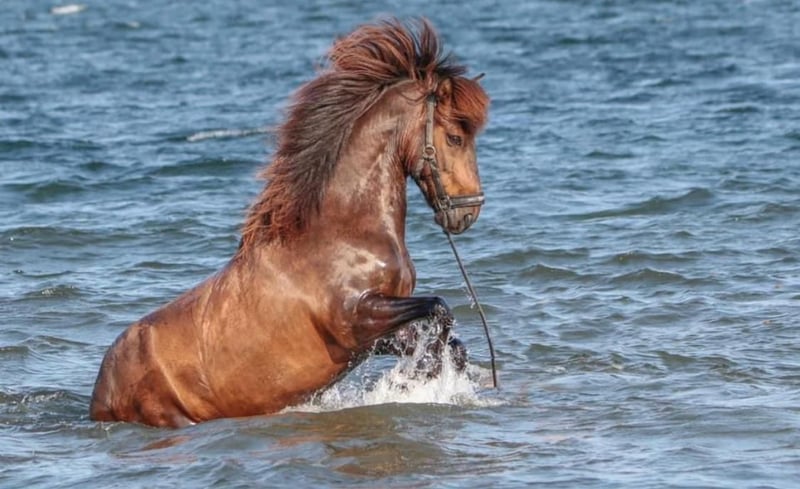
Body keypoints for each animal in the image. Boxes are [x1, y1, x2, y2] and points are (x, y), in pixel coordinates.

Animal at [89, 18, 490, 428]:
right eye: (455, 137)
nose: (467, 212)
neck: (344, 232)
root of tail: (101, 394)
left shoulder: (372, 335)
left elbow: (452, 343)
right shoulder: (358, 318)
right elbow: (440, 309)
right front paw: (413, 379)